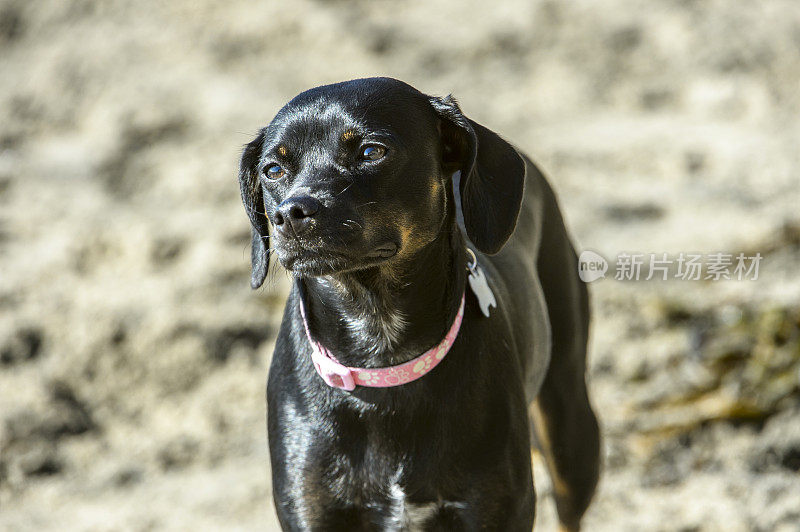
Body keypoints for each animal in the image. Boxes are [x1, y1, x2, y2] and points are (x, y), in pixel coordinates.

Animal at [238, 77, 600, 528]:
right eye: (273, 170)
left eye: (372, 151)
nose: (290, 214)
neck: (382, 353)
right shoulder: (311, 510)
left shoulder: (495, 508)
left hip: (570, 428)